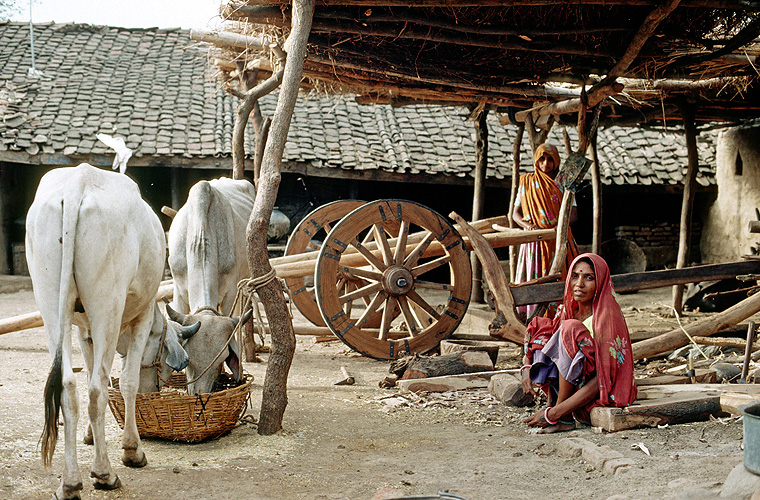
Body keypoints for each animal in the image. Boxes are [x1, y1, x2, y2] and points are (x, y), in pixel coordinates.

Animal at [26, 164, 199, 500]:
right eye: (162, 350)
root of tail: (78, 183)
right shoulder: (142, 319)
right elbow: (128, 381)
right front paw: (132, 450)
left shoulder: (85, 332)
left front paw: (91, 437)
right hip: (107, 304)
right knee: (96, 390)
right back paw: (104, 473)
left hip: (50, 304)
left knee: (69, 386)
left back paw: (69, 482)